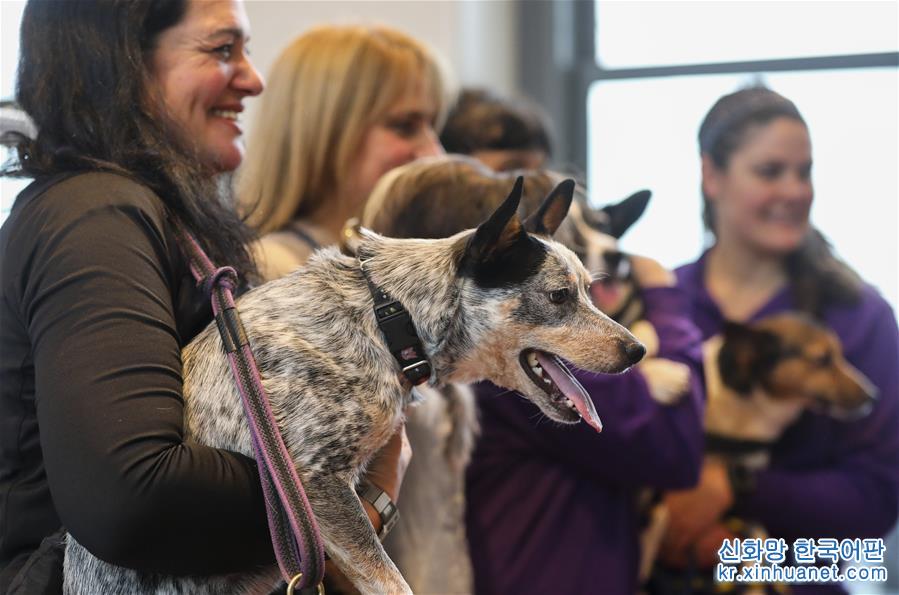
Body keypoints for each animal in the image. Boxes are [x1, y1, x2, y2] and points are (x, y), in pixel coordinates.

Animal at [61, 179, 648, 592]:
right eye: (558, 297)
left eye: (589, 291)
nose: (637, 350)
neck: (390, 318)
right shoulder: (312, 481)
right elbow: (393, 582)